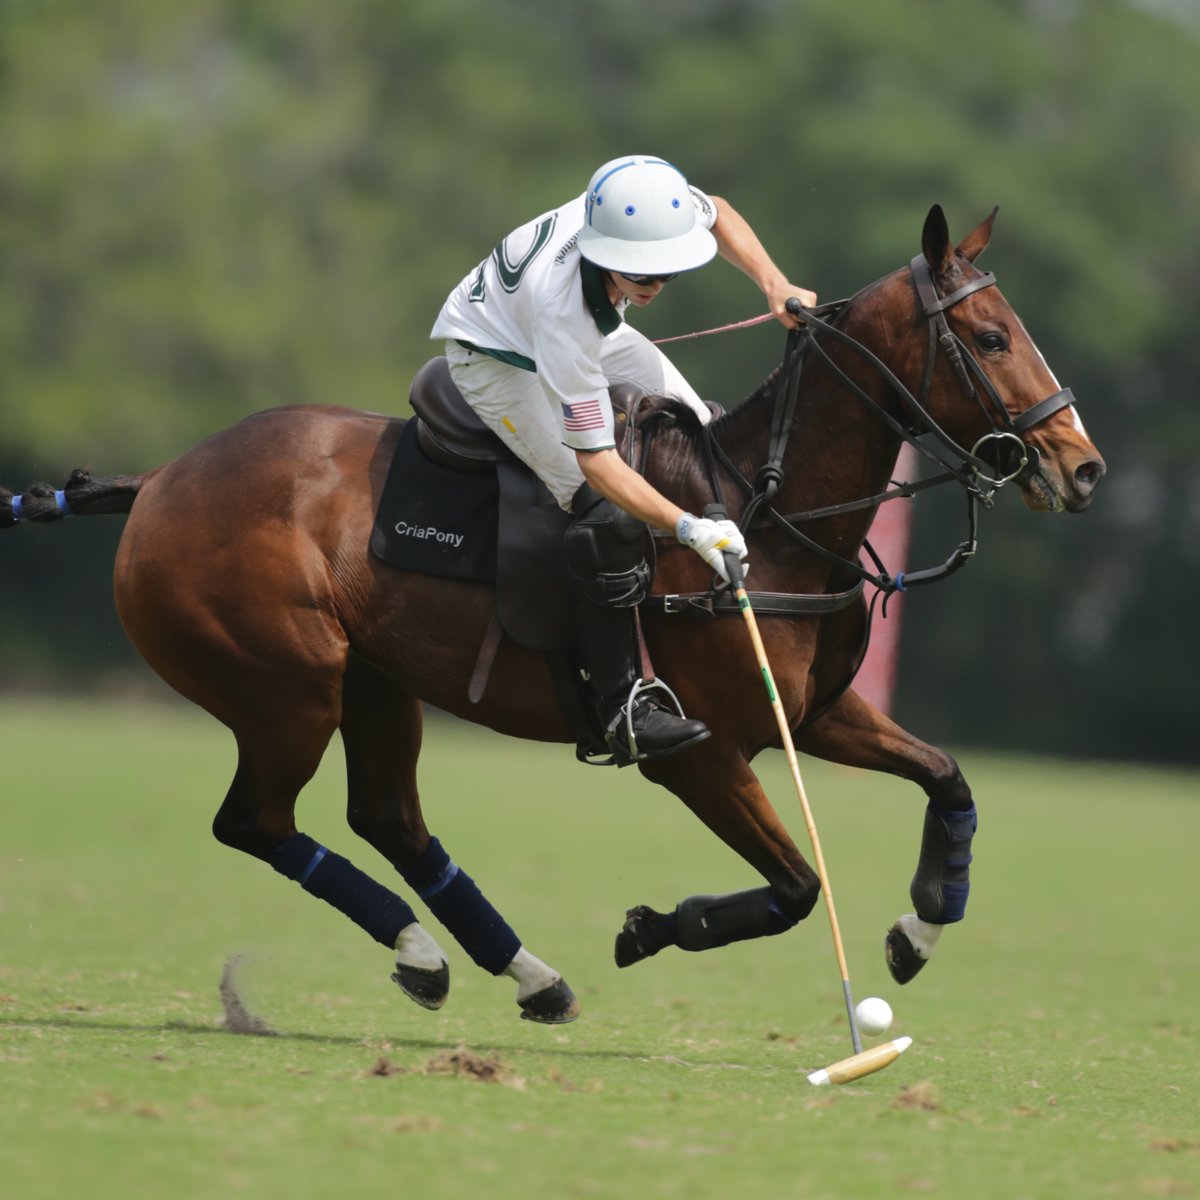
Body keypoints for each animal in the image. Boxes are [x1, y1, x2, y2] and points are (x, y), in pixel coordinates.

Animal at [2, 204, 1104, 1022]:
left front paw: (920, 928)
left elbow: (948, 778)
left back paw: (518, 972)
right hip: (285, 686)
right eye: (991, 337)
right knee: (257, 821)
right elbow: (798, 886)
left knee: (388, 817)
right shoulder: (700, 755)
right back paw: (431, 954)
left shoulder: (818, 713)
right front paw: (649, 927)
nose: (1083, 469)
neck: (771, 511)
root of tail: (158, 483)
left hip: (375, 681)